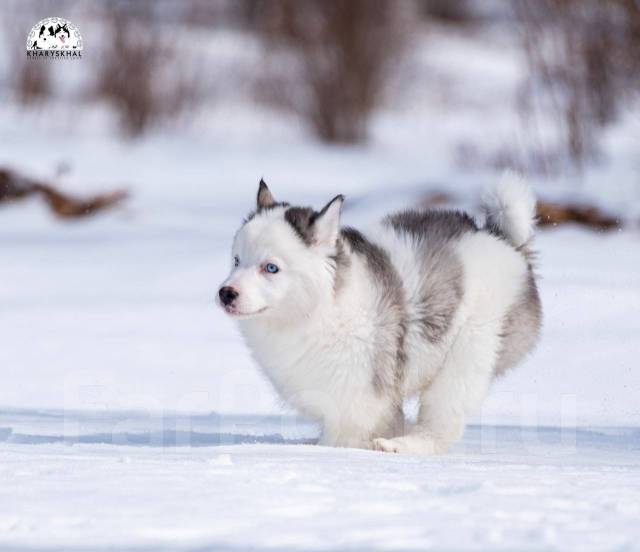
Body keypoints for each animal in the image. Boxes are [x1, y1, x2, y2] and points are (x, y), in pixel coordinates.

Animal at [219, 175, 540, 454]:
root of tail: (502, 239)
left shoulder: (360, 394)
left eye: (271, 268)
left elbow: (344, 437)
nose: (226, 293)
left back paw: (403, 446)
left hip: (467, 354)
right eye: (236, 260)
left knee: (442, 424)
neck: (318, 309)